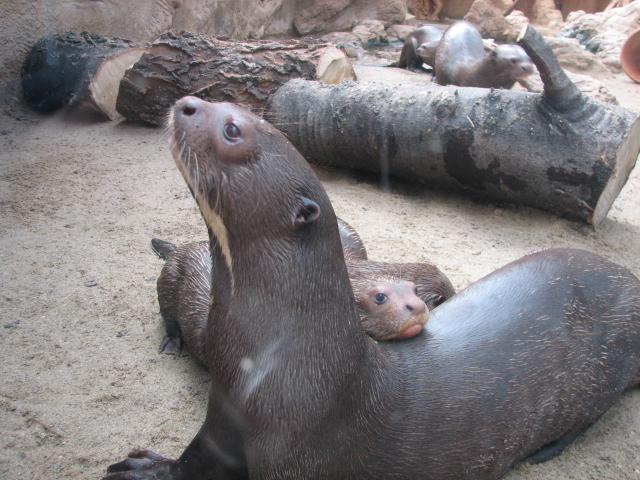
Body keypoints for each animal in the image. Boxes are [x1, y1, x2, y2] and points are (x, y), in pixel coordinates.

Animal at [105, 98, 640, 480]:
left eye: (233, 129)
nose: (185, 102)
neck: (280, 364)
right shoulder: (222, 412)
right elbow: (194, 461)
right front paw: (144, 467)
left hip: (602, 372)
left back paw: (549, 448)